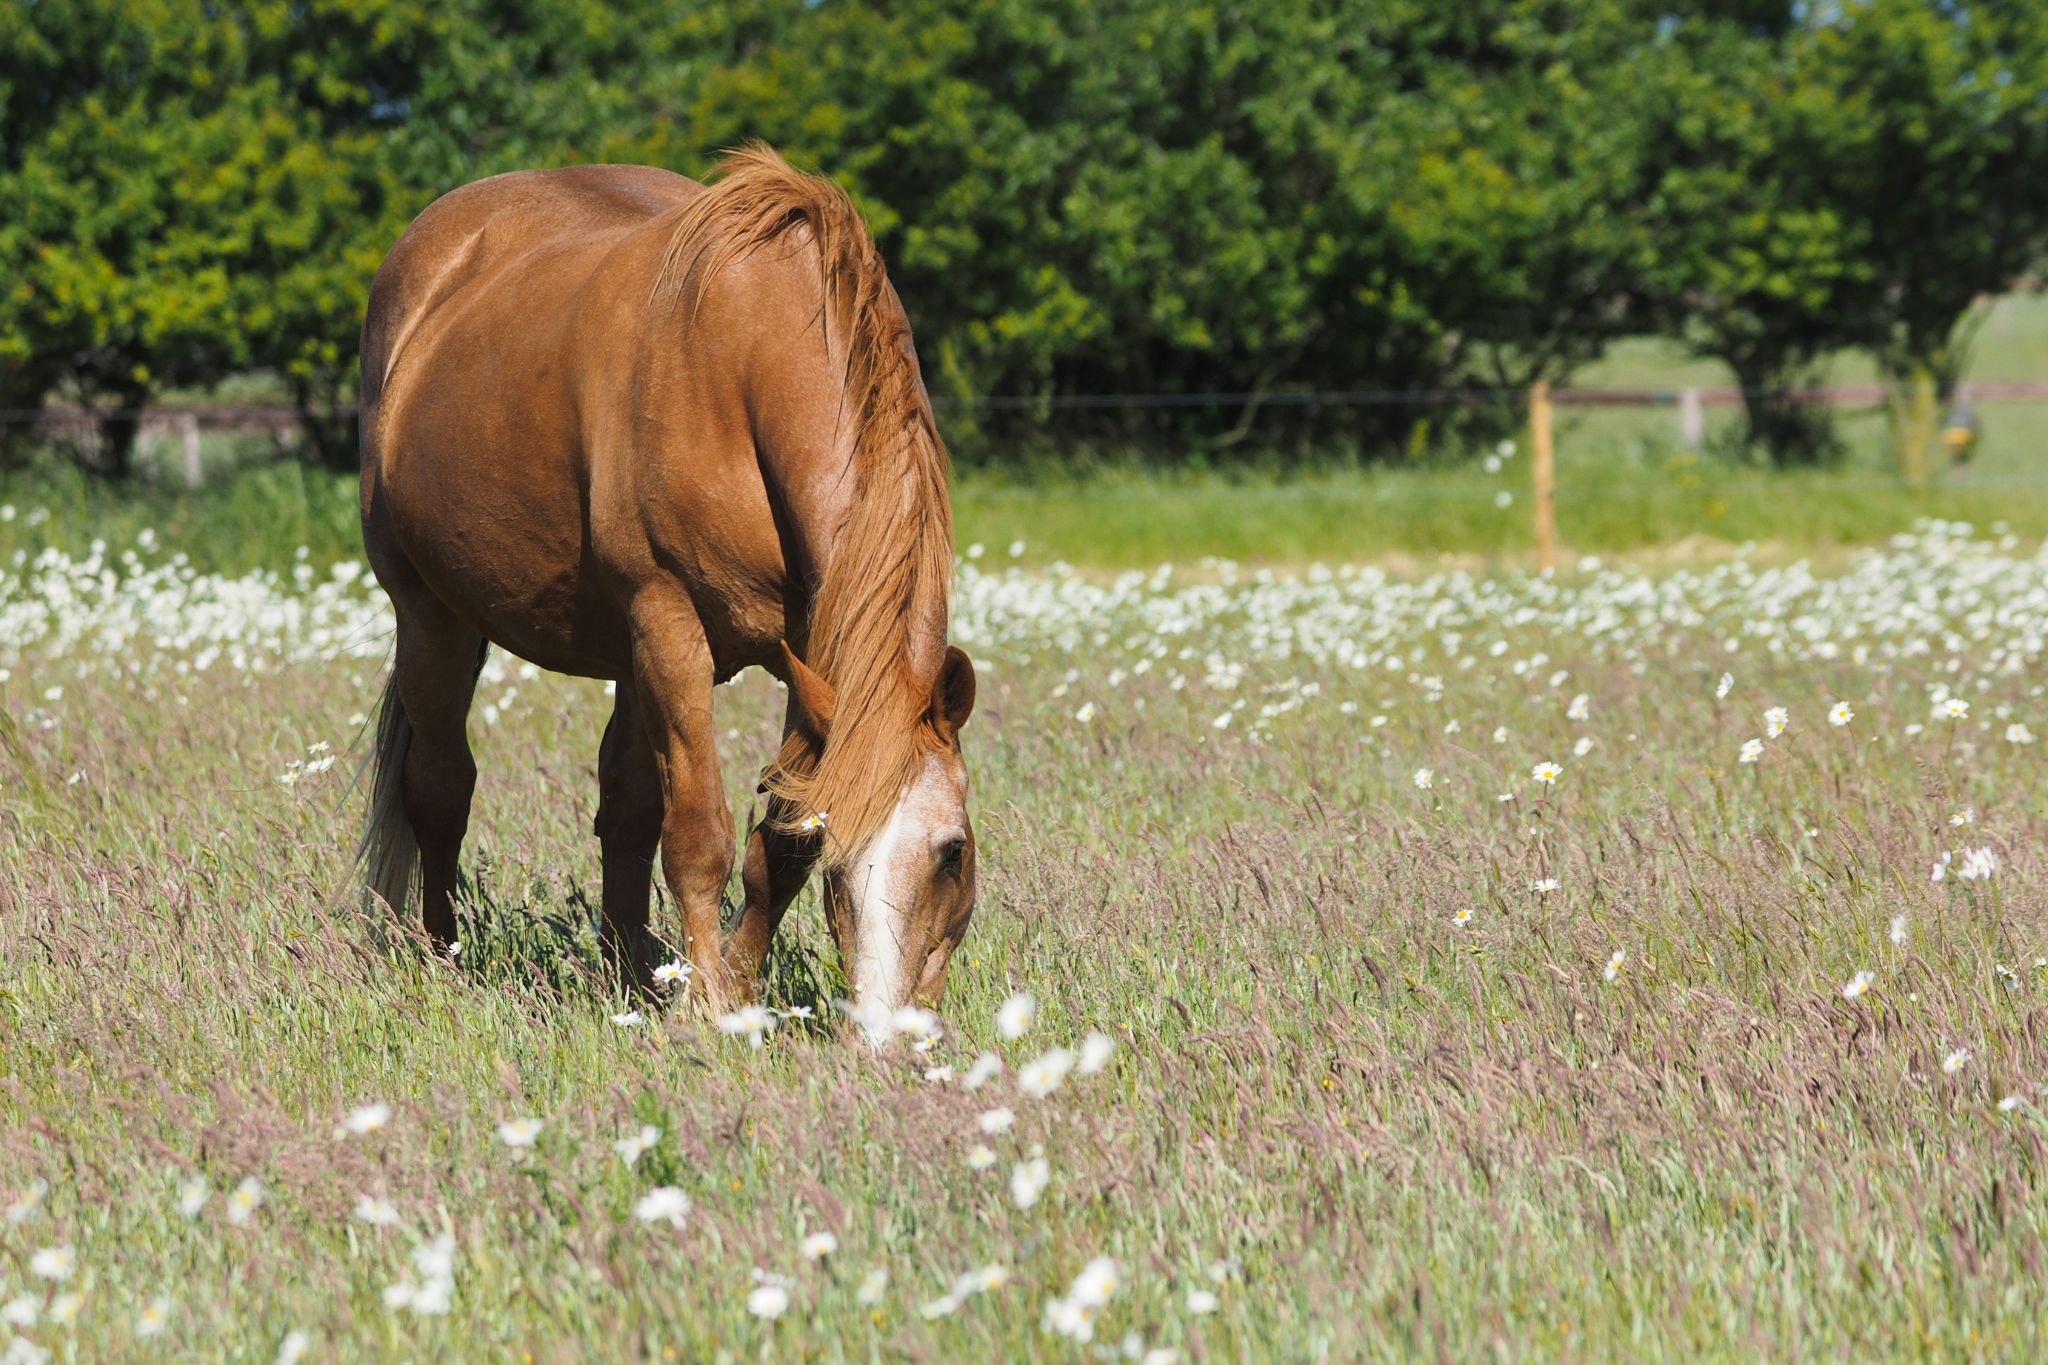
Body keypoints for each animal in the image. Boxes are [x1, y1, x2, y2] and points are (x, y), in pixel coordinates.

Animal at [355, 144, 978, 1013]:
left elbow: (775, 839)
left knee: (624, 806)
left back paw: (631, 975)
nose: (889, 1032)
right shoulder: (671, 623)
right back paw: (446, 959)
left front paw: (736, 991)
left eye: (953, 850)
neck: (749, 354)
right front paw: (710, 1006)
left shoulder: (813, 651)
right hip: (433, 617)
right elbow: (699, 835)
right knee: (442, 786)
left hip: (625, 654)